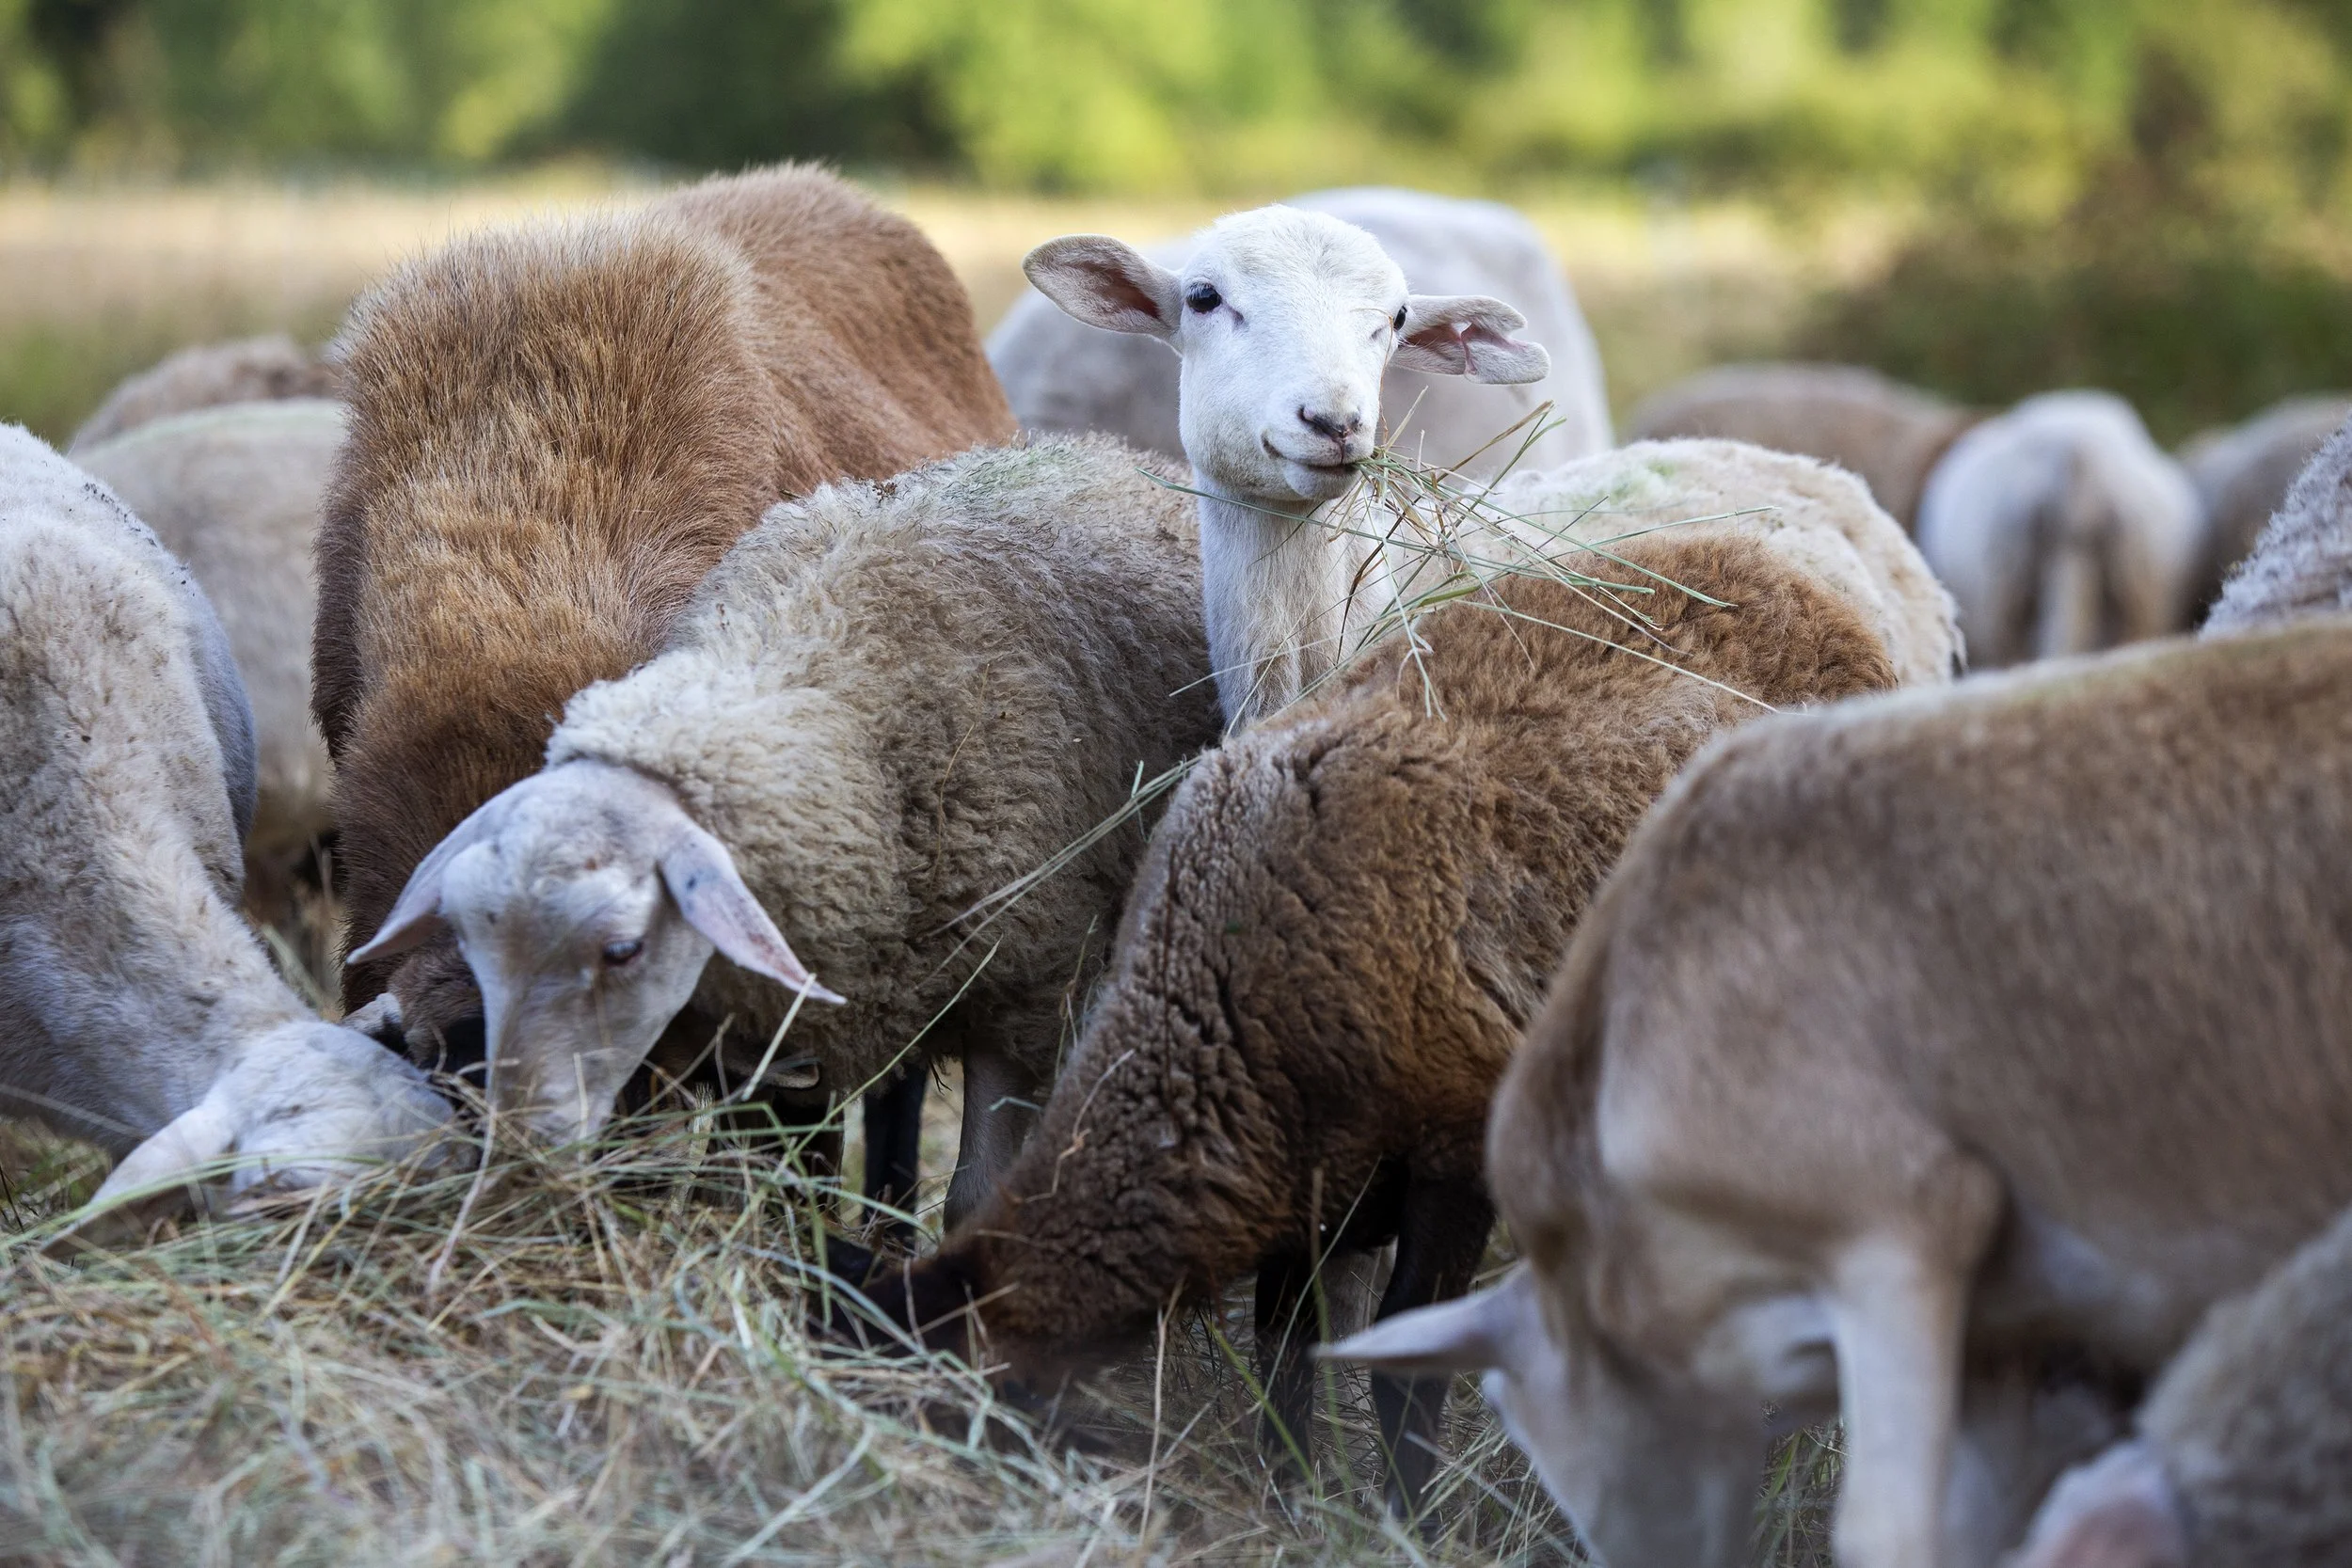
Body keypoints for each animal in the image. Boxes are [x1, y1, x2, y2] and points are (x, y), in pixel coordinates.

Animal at [350, 435, 1223, 1223]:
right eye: (476, 940)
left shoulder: (1027, 987)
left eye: (622, 949)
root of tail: (1124, 453)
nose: (520, 1136)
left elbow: (974, 1199)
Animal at [830, 440, 1959, 1516]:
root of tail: (1810, 589)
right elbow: (1286, 1344)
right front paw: (1289, 1492)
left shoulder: (1454, 1155)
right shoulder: (1302, 1177)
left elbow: (1402, 1377)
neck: (1225, 997)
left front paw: (1404, 1520)